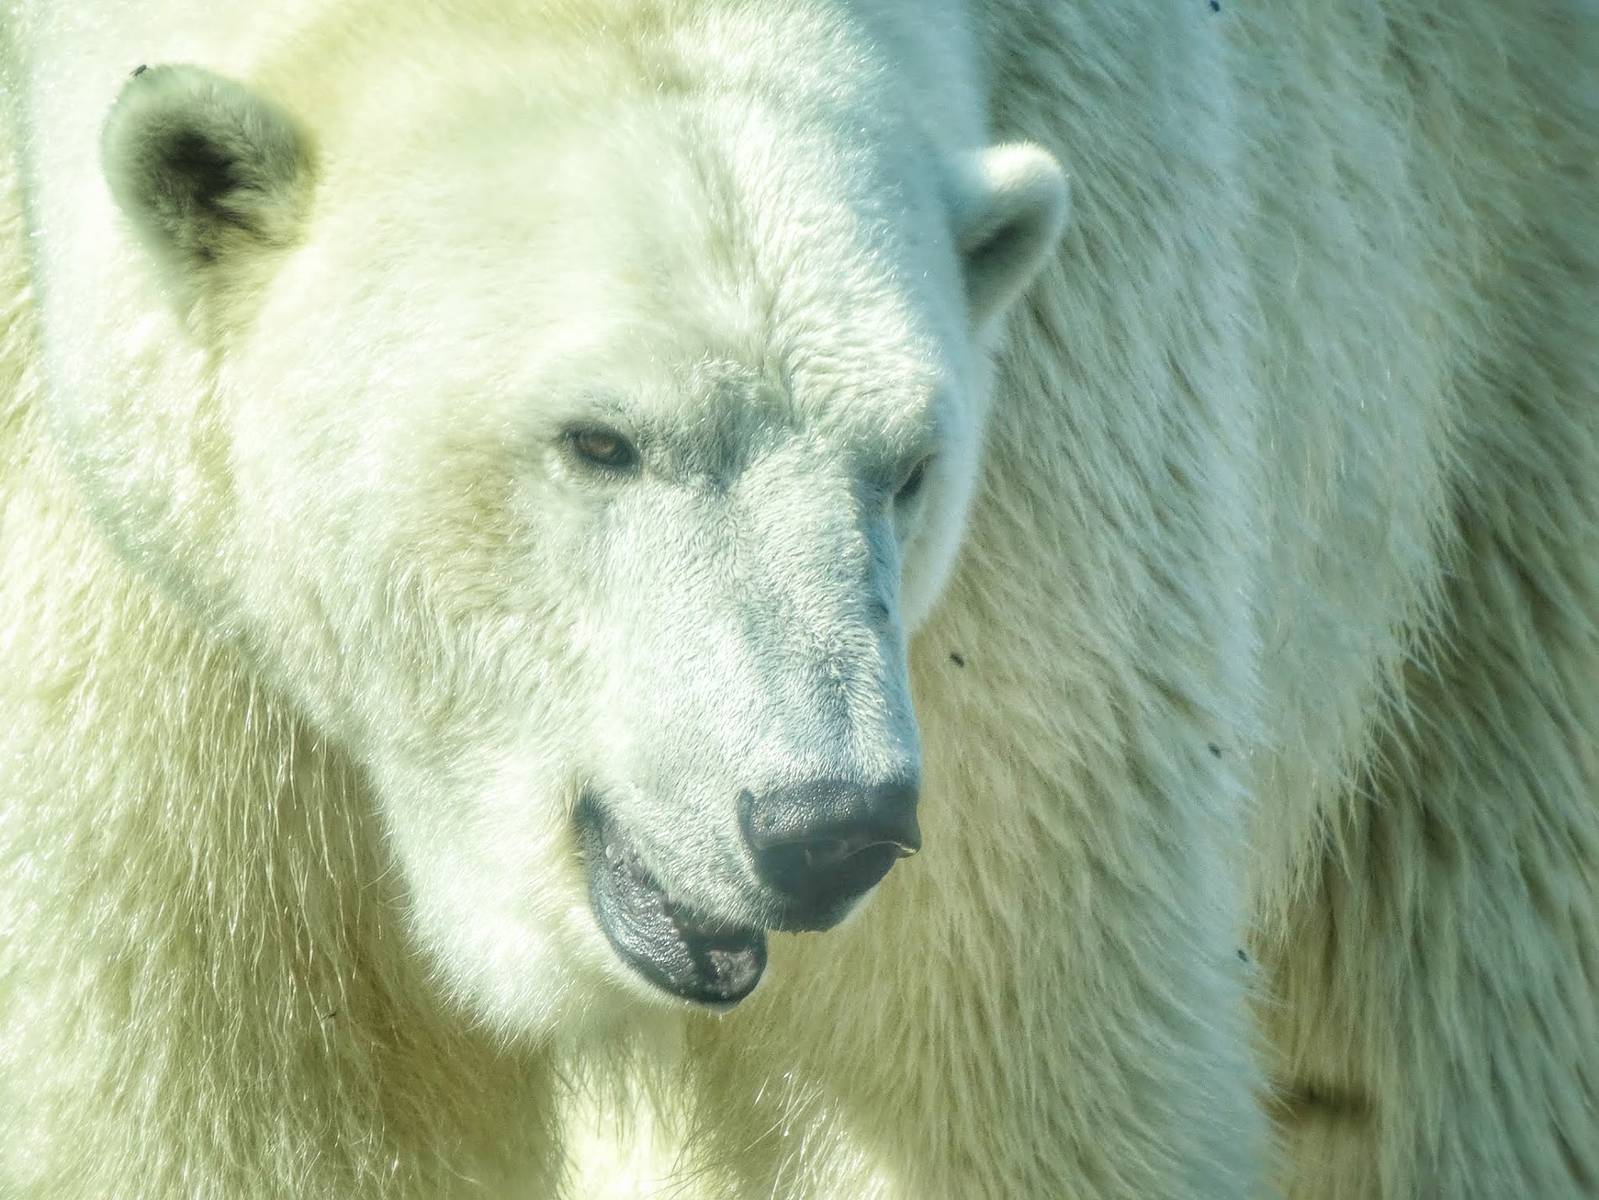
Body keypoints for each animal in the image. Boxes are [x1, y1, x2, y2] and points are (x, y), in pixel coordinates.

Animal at [2, 1, 1596, 1197]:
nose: (825, 823)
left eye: (909, 466)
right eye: (599, 439)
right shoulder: (125, 612)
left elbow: (988, 1049)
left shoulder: (1056, 481)